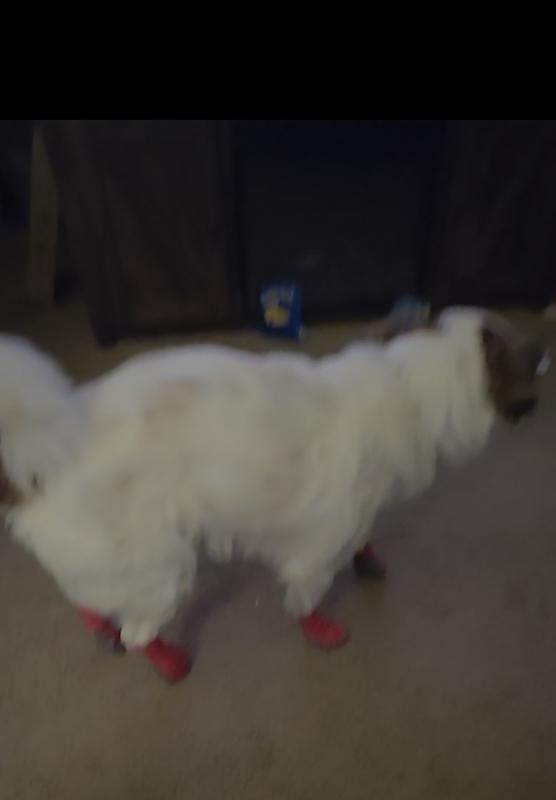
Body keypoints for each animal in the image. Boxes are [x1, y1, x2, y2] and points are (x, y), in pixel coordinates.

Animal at [0, 308, 548, 681]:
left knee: (93, 602)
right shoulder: (320, 543)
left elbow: (363, 540)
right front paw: (321, 628)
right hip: (160, 566)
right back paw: (168, 661)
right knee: (139, 632)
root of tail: (46, 453)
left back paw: (102, 625)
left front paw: (368, 559)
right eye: (529, 366)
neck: (408, 382)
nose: (545, 352)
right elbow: (308, 594)